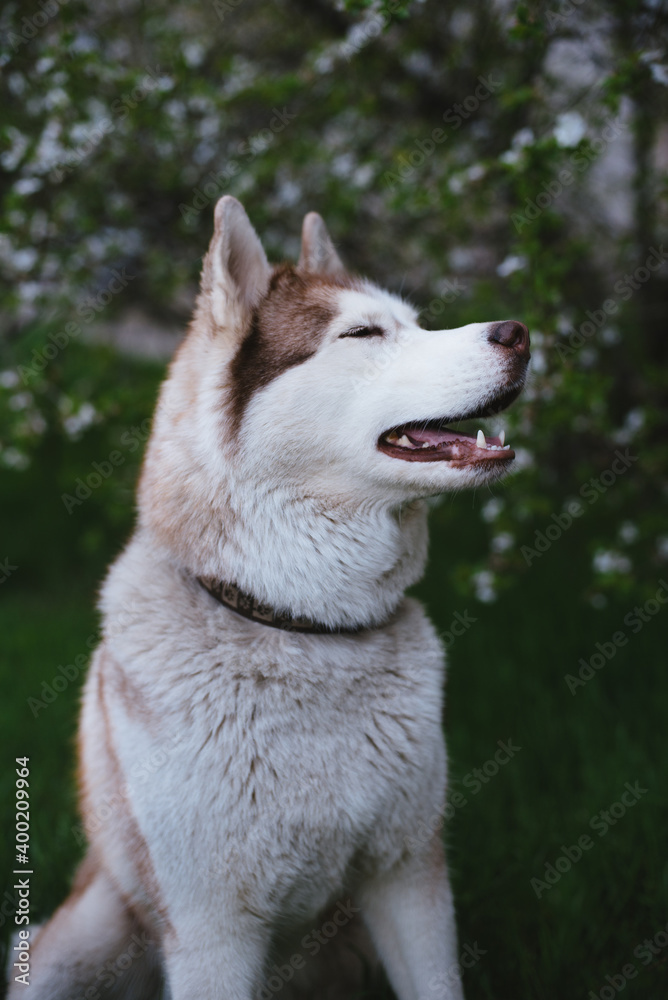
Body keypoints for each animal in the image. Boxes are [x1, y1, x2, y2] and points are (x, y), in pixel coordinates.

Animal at [10, 197, 528, 1000]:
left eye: (414, 323)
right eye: (363, 334)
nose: (522, 334)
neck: (300, 627)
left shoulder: (409, 879)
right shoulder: (211, 933)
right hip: (82, 936)